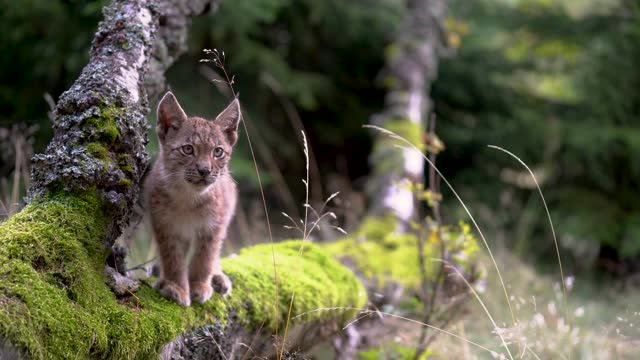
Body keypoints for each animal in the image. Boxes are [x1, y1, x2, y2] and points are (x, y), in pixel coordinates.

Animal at [145, 93, 240, 306]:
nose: (204, 170)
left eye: (217, 152)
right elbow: (172, 257)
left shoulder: (214, 226)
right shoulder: (165, 225)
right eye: (188, 149)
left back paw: (218, 278)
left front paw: (198, 286)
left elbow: (205, 257)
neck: (189, 196)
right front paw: (176, 287)